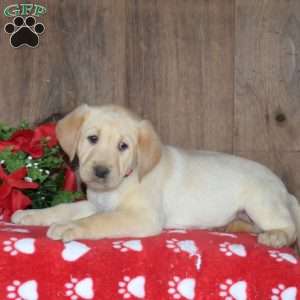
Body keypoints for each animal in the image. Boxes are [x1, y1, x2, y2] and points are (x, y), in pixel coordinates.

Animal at [11, 103, 300, 248]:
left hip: (260, 202)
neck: (123, 181)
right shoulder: (96, 203)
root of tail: (285, 192)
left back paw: (276, 236)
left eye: (123, 146)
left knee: (290, 228)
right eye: (92, 139)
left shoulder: (143, 216)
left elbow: (99, 221)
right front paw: (32, 215)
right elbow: (65, 208)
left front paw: (71, 227)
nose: (101, 172)